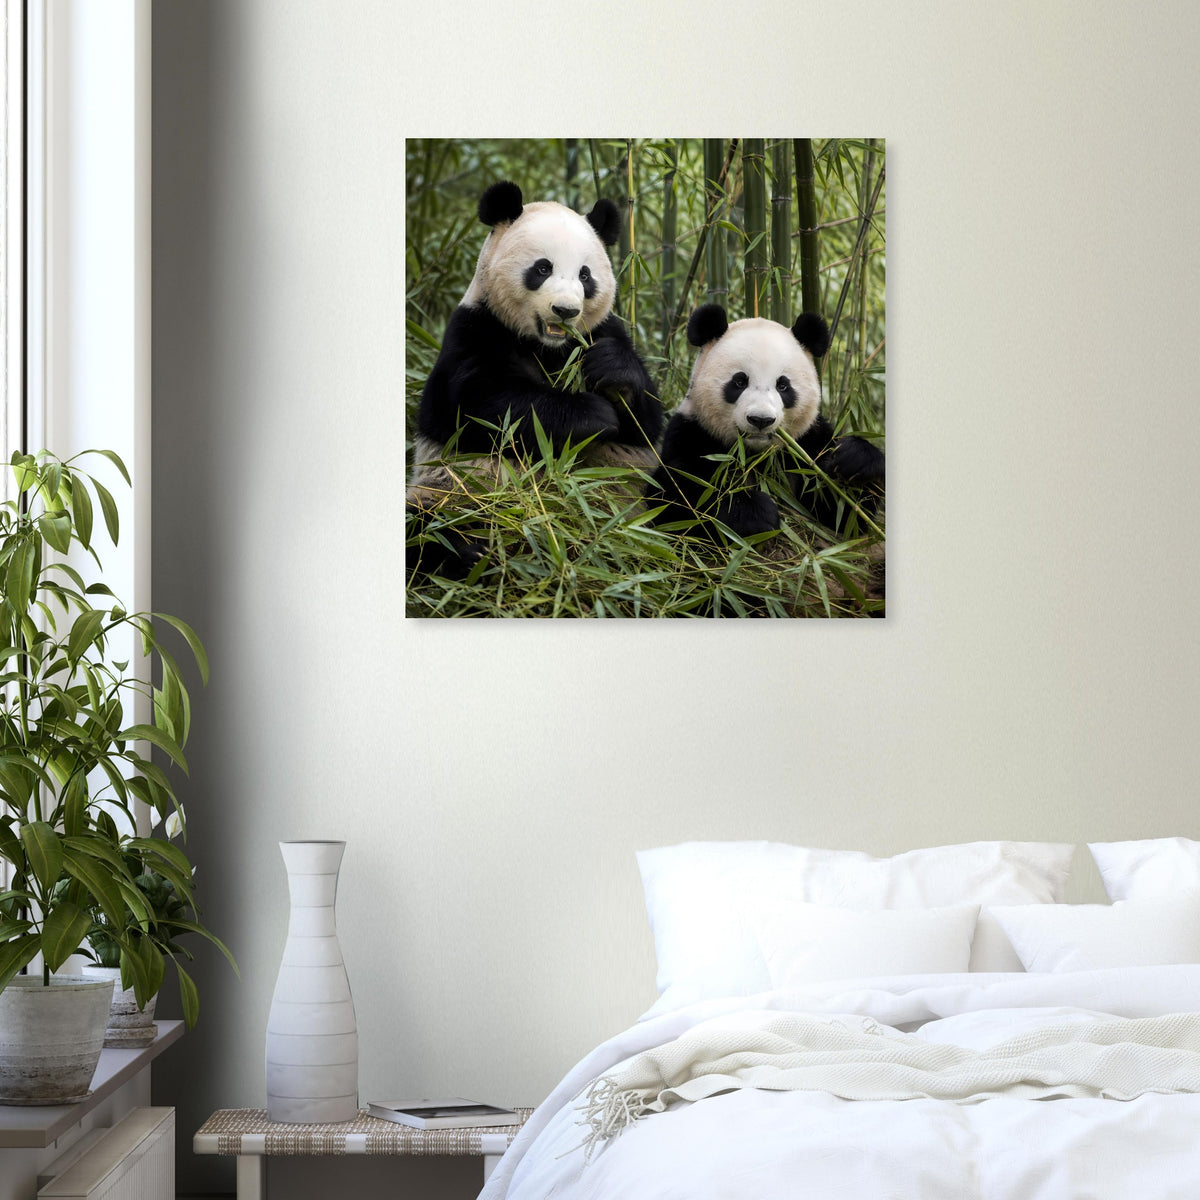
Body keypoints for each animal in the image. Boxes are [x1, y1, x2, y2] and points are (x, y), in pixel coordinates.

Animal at [647, 303, 884, 542]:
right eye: (739, 382)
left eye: (783, 385)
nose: (761, 420)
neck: (755, 455)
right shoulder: (692, 433)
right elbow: (677, 499)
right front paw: (754, 512)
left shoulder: (806, 443)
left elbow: (842, 513)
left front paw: (855, 460)